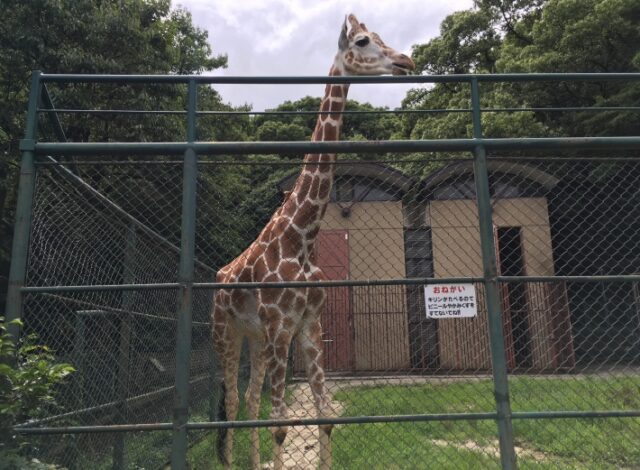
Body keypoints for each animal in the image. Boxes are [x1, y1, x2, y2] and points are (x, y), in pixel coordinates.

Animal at [212, 12, 416, 468]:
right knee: (231, 401)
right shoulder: (279, 325)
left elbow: (324, 415)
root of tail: (218, 277)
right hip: (225, 331)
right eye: (363, 41)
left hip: (255, 337)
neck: (302, 235)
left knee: (248, 398)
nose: (406, 61)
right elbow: (282, 424)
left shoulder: (307, 324)